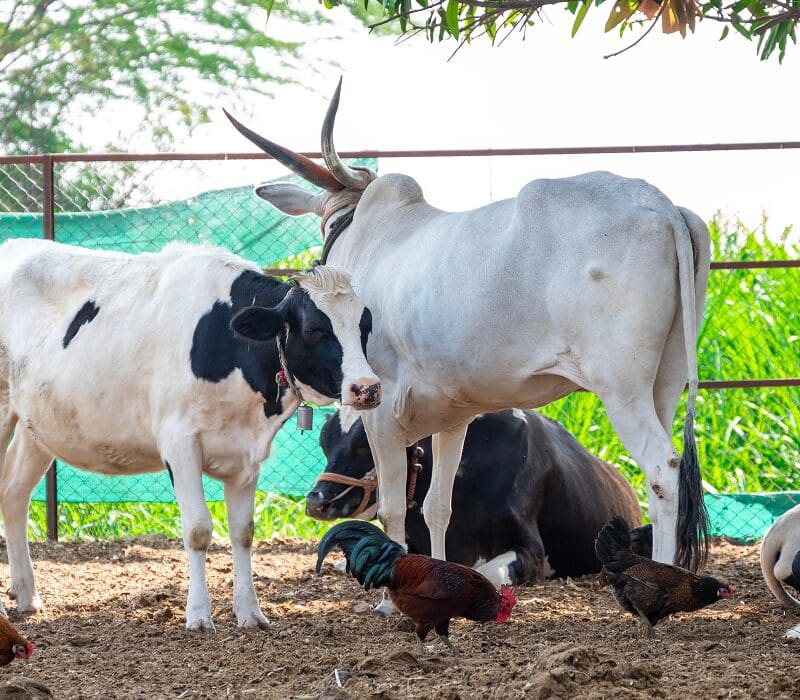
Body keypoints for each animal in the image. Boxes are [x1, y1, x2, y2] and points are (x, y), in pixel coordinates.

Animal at [0, 238, 380, 631]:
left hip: (37, 427)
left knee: (13, 492)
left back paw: (27, 595)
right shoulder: (179, 444)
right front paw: (198, 615)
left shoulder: (247, 454)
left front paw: (250, 612)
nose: (367, 388)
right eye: (315, 329)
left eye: (364, 326)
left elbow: (243, 531)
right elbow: (198, 529)